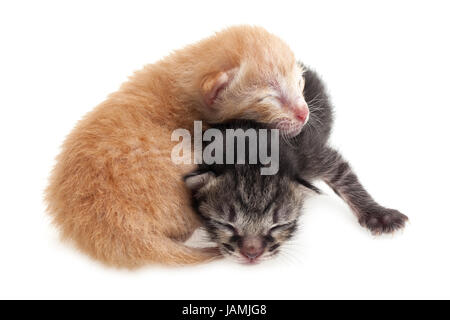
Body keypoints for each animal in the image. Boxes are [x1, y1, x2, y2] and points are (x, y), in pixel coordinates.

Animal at [185, 67, 410, 262]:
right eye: (226, 224)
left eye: (278, 225)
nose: (252, 253)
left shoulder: (309, 154)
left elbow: (343, 175)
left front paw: (379, 214)